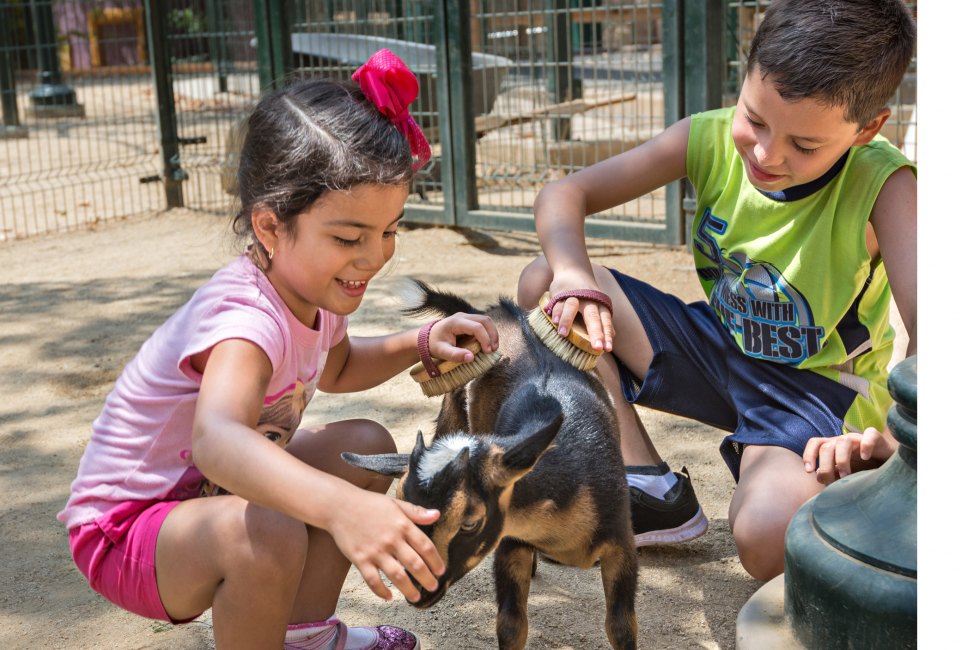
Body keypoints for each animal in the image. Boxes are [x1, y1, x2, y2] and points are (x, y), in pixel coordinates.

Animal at [344, 280, 636, 648]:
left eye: (470, 522)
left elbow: (621, 626)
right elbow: (511, 624)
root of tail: (491, 314)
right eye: (401, 509)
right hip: (453, 406)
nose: (418, 592)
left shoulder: (622, 541)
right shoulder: (509, 544)